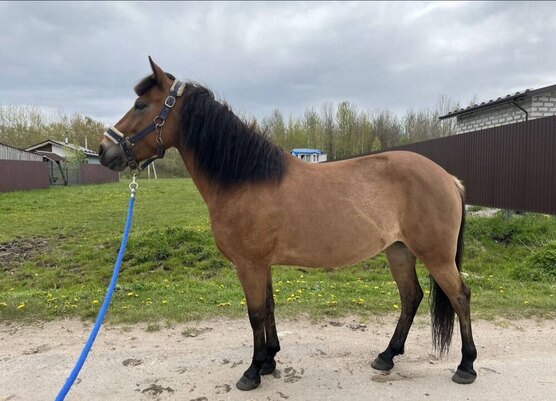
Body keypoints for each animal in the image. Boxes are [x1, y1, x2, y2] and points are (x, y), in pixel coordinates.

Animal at [99, 57, 477, 391]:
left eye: (140, 105)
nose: (104, 150)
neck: (245, 180)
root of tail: (448, 178)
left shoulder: (249, 265)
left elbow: (254, 314)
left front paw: (252, 372)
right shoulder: (261, 264)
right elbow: (268, 308)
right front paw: (269, 360)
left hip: (436, 256)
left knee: (460, 296)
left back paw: (466, 366)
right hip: (399, 251)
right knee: (411, 297)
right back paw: (387, 356)